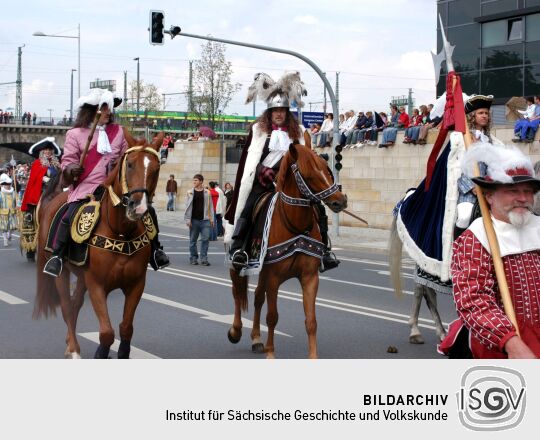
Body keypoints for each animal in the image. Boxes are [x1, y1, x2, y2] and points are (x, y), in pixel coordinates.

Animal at [31, 130, 161, 358]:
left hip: (82, 278)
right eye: (129, 164)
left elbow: (126, 328)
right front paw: (101, 352)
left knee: (75, 305)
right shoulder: (97, 285)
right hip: (62, 273)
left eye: (156, 168)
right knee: (67, 307)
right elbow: (107, 333)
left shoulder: (136, 285)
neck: (121, 232)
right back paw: (73, 350)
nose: (138, 207)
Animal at [227, 139, 346, 360]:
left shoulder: (309, 278)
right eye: (309, 174)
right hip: (237, 265)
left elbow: (311, 320)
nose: (341, 201)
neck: (294, 224)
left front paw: (313, 357)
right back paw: (236, 331)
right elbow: (272, 316)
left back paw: (257, 339)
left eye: (328, 170)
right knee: (238, 293)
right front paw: (271, 354)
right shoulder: (274, 277)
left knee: (257, 297)